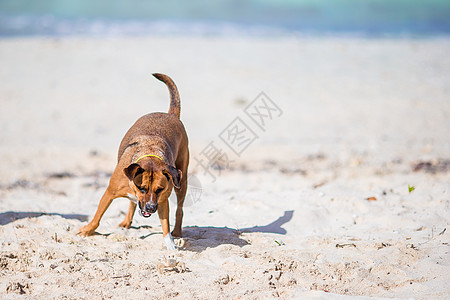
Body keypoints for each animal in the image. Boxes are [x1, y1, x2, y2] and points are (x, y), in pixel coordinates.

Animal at [78, 74, 189, 250]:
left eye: (159, 189)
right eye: (141, 188)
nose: (150, 208)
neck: (150, 154)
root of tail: (171, 115)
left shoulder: (162, 201)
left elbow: (166, 225)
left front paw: (170, 243)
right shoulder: (110, 192)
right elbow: (98, 216)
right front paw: (88, 230)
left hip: (181, 181)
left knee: (180, 209)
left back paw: (177, 231)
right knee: (132, 203)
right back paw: (126, 222)